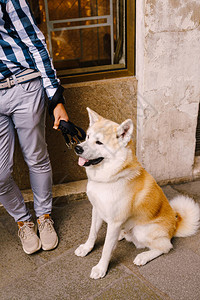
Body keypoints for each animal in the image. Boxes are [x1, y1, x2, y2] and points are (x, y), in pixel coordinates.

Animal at [74, 109, 199, 280]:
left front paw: (101, 268)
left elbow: (106, 249)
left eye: (99, 142)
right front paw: (87, 248)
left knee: (166, 246)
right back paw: (122, 235)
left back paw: (143, 256)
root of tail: (175, 225)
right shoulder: (97, 210)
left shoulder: (115, 221)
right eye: (87, 136)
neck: (108, 178)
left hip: (142, 230)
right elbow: (92, 233)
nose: (77, 148)